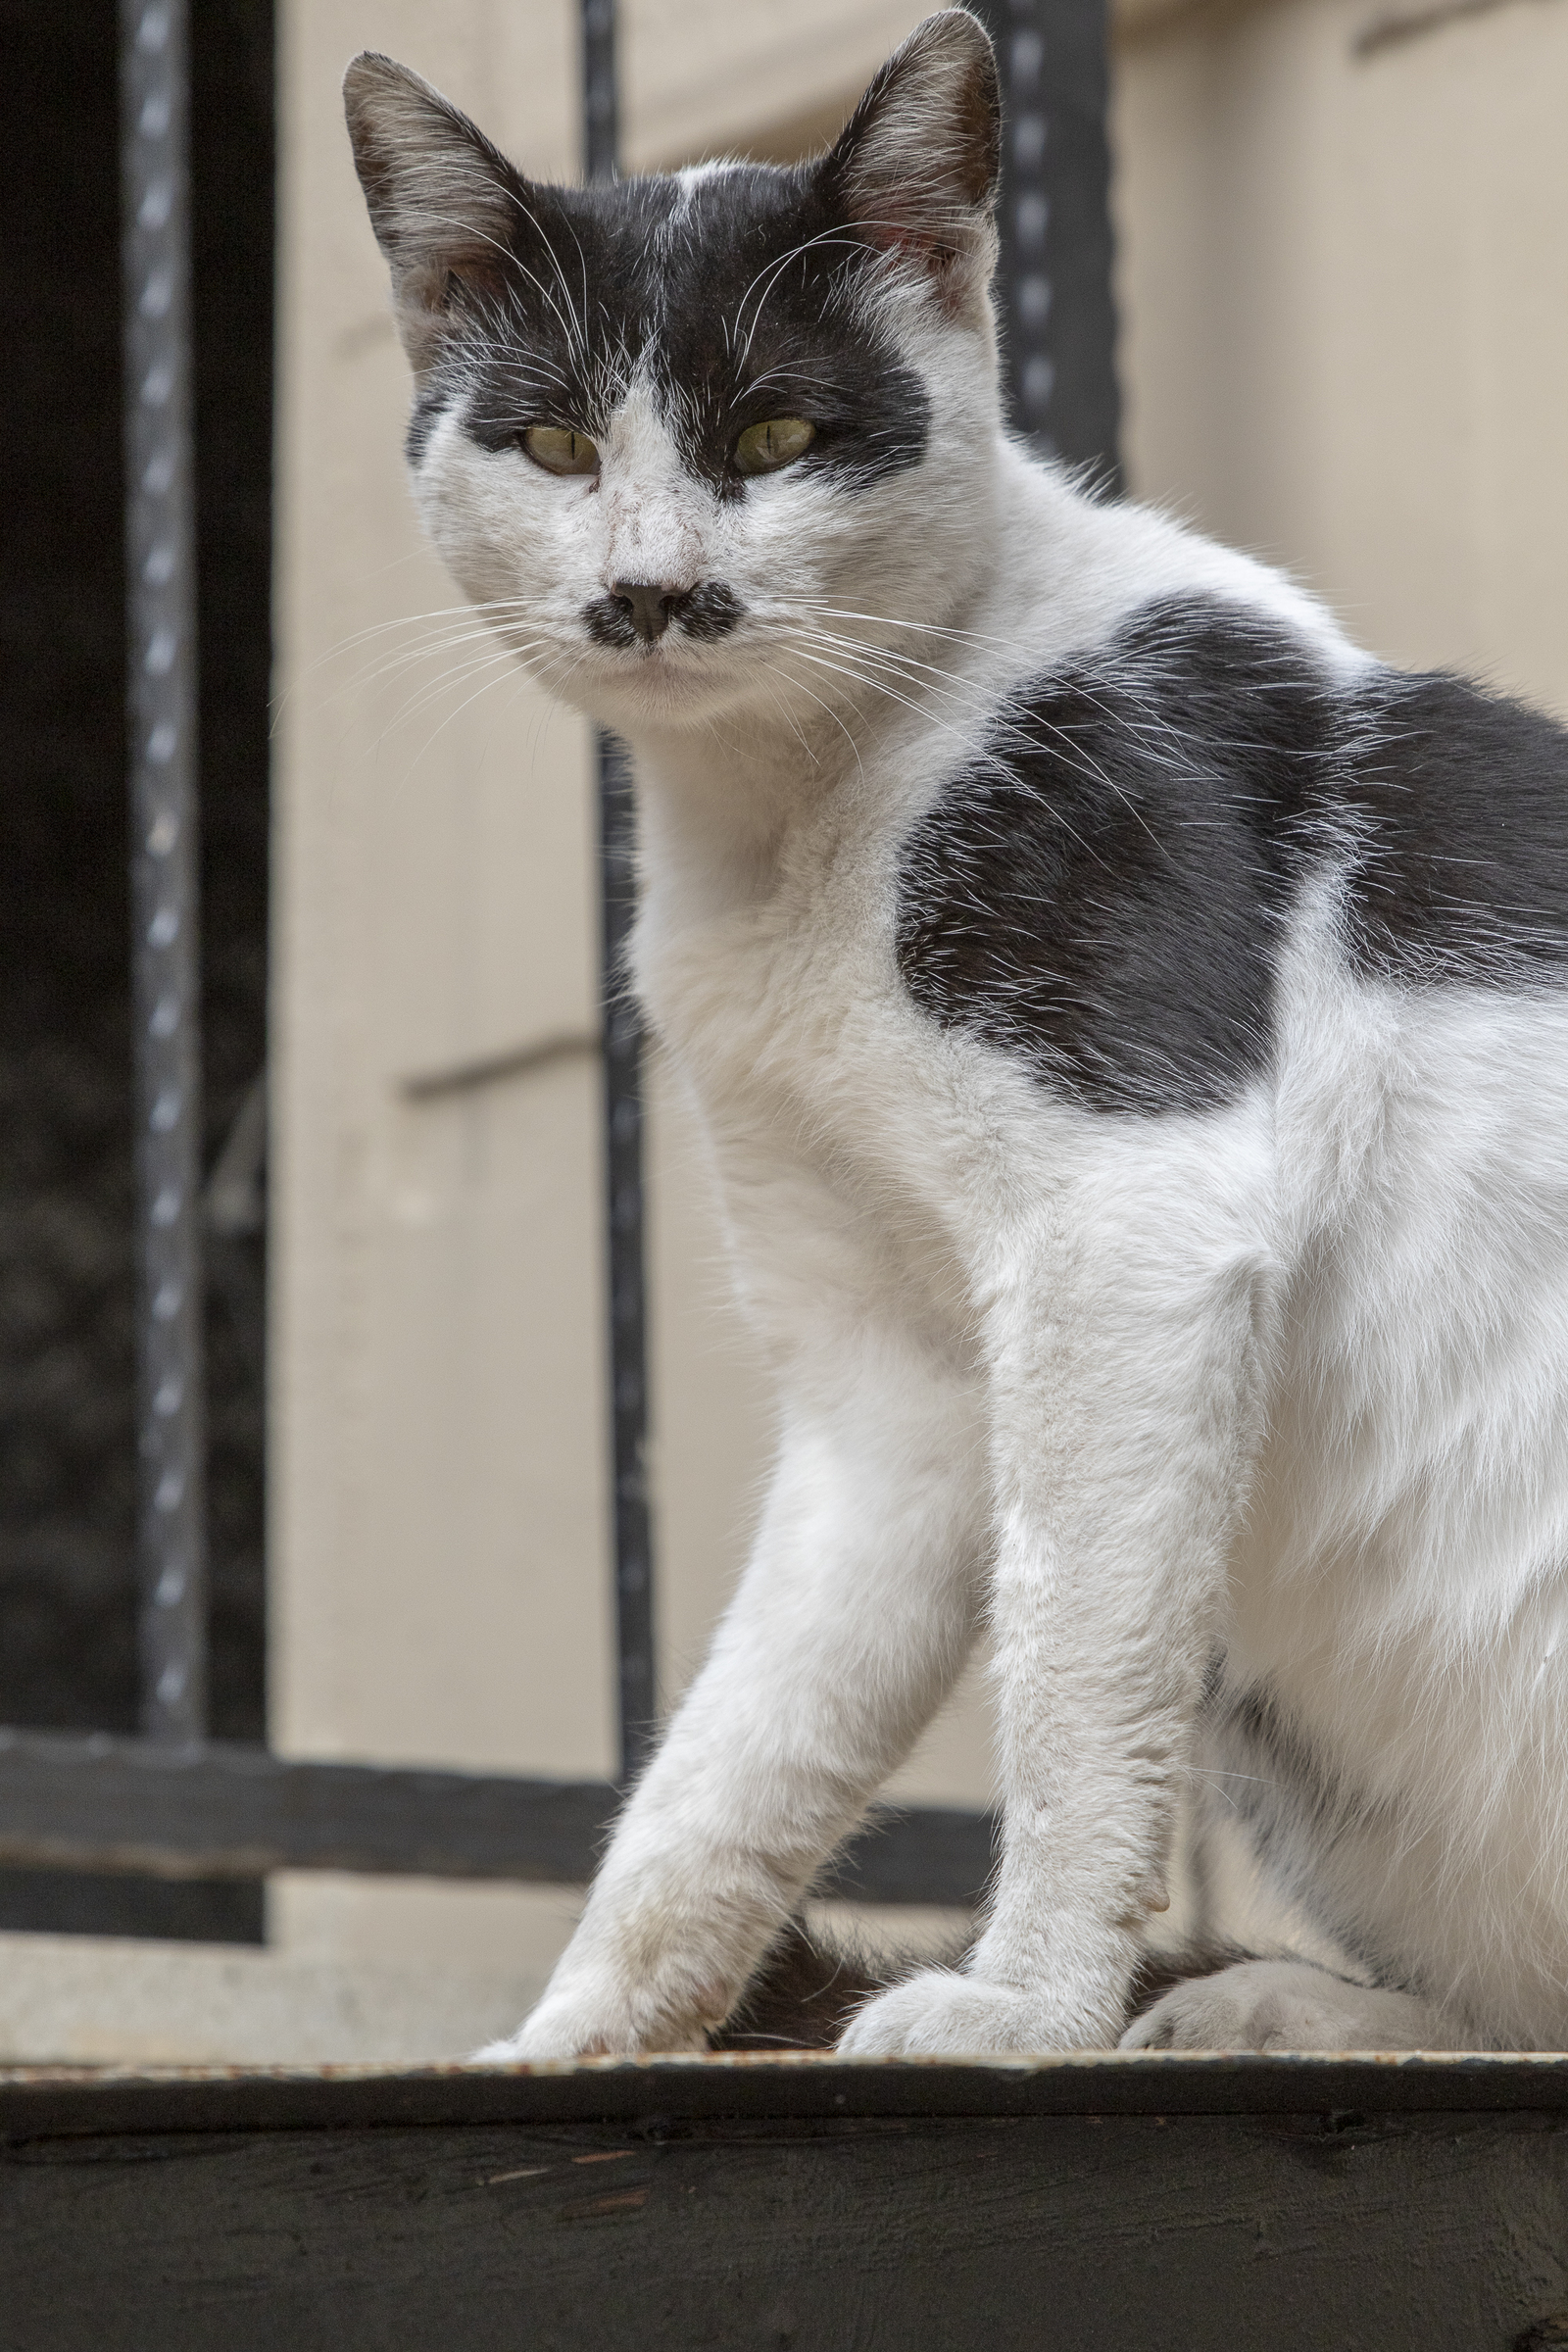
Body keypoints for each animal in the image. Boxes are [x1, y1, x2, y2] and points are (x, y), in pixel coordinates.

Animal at [350, 9, 1568, 2050]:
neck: (790, 823)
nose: (654, 593)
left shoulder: (1132, 1228)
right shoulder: (883, 1379)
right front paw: (572, 2039)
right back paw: (1279, 2006)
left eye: (777, 435)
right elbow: (738, 1745)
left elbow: (1076, 1665)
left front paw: (1025, 2013)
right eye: (554, 440)